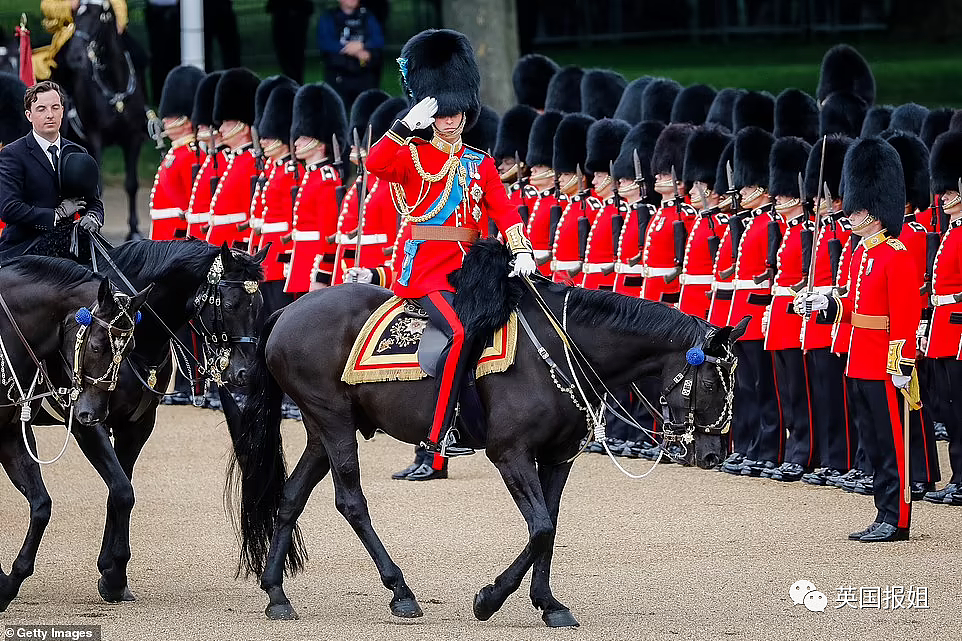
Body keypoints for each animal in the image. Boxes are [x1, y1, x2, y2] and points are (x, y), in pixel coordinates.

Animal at [0, 255, 150, 608]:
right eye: (96, 345)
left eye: (131, 347)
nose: (93, 414)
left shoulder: (9, 434)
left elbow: (42, 505)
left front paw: (8, 582)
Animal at [53, 0, 145, 240]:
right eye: (76, 15)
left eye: (99, 16)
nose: (75, 56)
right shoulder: (95, 138)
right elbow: (97, 185)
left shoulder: (133, 138)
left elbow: (132, 184)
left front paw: (134, 230)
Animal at [53, 238, 266, 604]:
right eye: (230, 304)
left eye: (260, 303)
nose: (246, 374)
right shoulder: (86, 420)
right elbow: (121, 490)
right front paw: (113, 576)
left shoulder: (136, 426)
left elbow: (120, 490)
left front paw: (113, 571)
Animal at [227, 242, 744, 628]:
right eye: (713, 382)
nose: (714, 455)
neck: (560, 347)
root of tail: (289, 310)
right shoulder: (510, 453)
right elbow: (541, 527)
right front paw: (490, 599)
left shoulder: (557, 457)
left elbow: (548, 526)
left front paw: (548, 604)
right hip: (333, 422)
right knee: (351, 501)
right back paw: (400, 591)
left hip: (324, 426)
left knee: (291, 496)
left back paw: (276, 593)